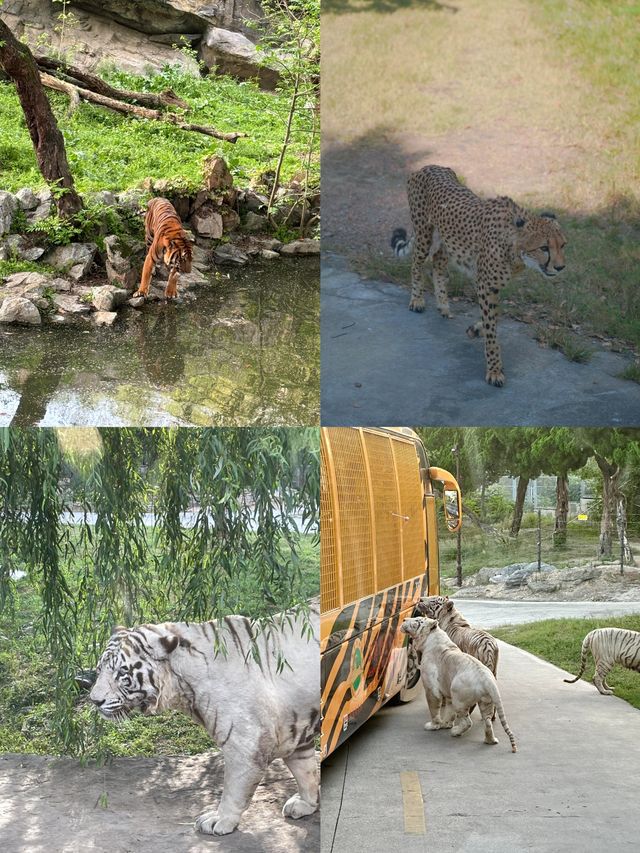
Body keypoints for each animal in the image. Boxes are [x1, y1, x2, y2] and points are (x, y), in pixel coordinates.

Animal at [90, 600, 320, 832]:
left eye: (122, 673)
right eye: (99, 669)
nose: (94, 700)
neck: (182, 686)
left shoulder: (246, 746)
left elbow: (233, 789)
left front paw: (219, 820)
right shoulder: (294, 731)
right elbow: (305, 771)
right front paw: (306, 803)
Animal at [392, 166, 568, 386]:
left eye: (563, 245)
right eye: (544, 248)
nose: (560, 267)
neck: (514, 249)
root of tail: (430, 167)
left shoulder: (493, 286)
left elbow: (495, 316)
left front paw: (476, 329)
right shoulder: (485, 284)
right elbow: (492, 328)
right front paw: (494, 370)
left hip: (445, 239)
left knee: (438, 265)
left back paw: (443, 305)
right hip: (424, 231)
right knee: (417, 264)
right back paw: (417, 300)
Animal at [400, 616, 516, 748]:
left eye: (418, 621)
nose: (404, 619)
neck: (432, 637)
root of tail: (487, 679)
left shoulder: (431, 689)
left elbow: (434, 708)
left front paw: (433, 726)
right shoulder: (448, 691)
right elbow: (449, 711)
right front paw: (446, 724)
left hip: (459, 699)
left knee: (467, 722)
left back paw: (455, 732)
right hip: (486, 701)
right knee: (487, 721)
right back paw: (490, 740)